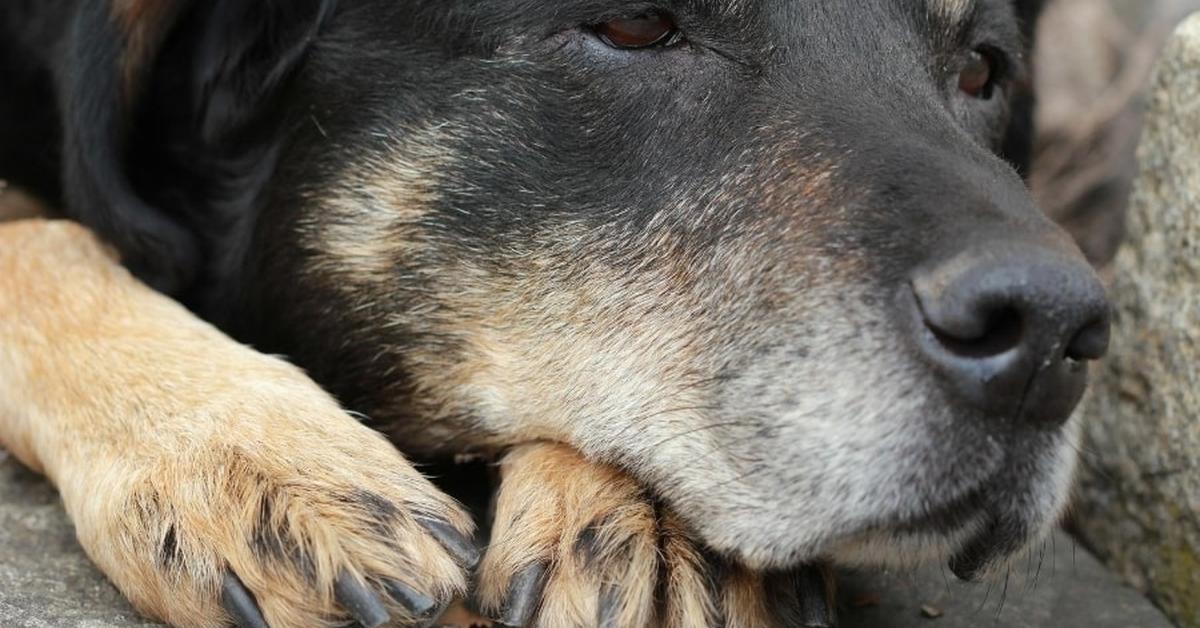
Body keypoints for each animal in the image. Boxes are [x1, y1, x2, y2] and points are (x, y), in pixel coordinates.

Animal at [0, 1, 1108, 628]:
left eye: (982, 69)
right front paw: (243, 451)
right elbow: (41, 237)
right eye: (632, 27)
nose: (1055, 334)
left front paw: (651, 519)